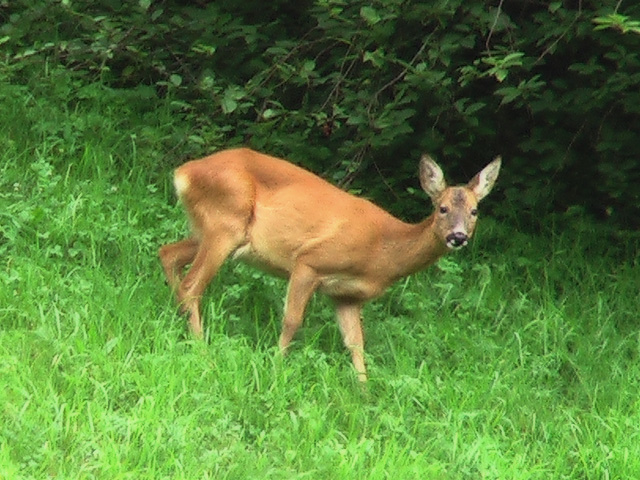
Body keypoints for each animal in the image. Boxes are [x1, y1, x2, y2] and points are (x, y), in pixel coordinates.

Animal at [159, 148, 500, 380]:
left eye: (474, 211)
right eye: (442, 208)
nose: (458, 237)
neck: (381, 252)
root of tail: (183, 172)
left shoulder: (346, 296)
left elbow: (356, 344)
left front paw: (364, 395)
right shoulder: (309, 261)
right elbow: (292, 320)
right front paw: (277, 367)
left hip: (218, 233)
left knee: (168, 253)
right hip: (225, 224)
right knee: (192, 285)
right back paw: (203, 352)